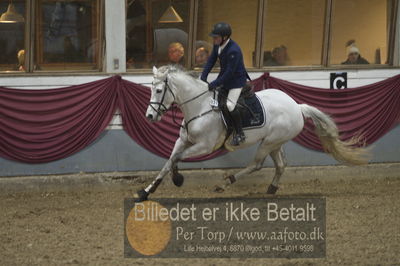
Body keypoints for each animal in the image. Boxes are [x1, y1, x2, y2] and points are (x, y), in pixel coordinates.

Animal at [137, 65, 368, 202]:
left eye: (159, 91)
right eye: (151, 89)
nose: (149, 116)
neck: (199, 105)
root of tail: (297, 106)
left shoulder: (203, 146)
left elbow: (177, 159)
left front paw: (178, 179)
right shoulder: (183, 140)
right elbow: (169, 161)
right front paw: (146, 191)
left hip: (268, 143)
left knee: (256, 165)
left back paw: (224, 183)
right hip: (275, 142)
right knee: (281, 164)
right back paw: (271, 188)